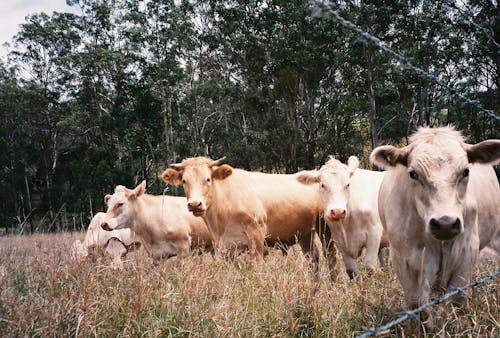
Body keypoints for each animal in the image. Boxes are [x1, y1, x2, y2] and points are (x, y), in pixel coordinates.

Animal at [162, 156, 338, 280]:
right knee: (313, 258)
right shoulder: (223, 247)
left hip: (325, 227)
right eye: (184, 180)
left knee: (330, 256)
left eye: (208, 179)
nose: (195, 204)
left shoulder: (257, 238)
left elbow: (256, 269)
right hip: (304, 233)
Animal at [370, 125, 498, 324]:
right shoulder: (403, 258)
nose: (445, 223)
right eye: (413, 173)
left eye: (466, 171)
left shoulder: (467, 250)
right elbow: (417, 305)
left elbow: (458, 299)